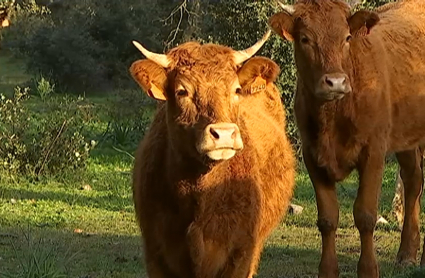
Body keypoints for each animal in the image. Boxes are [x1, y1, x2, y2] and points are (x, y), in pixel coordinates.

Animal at [270, 0, 424, 276]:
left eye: (347, 37)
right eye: (305, 38)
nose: (336, 82)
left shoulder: (373, 152)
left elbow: (365, 215)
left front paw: (368, 270)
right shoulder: (312, 155)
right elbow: (328, 218)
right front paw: (328, 270)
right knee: (413, 180)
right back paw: (407, 253)